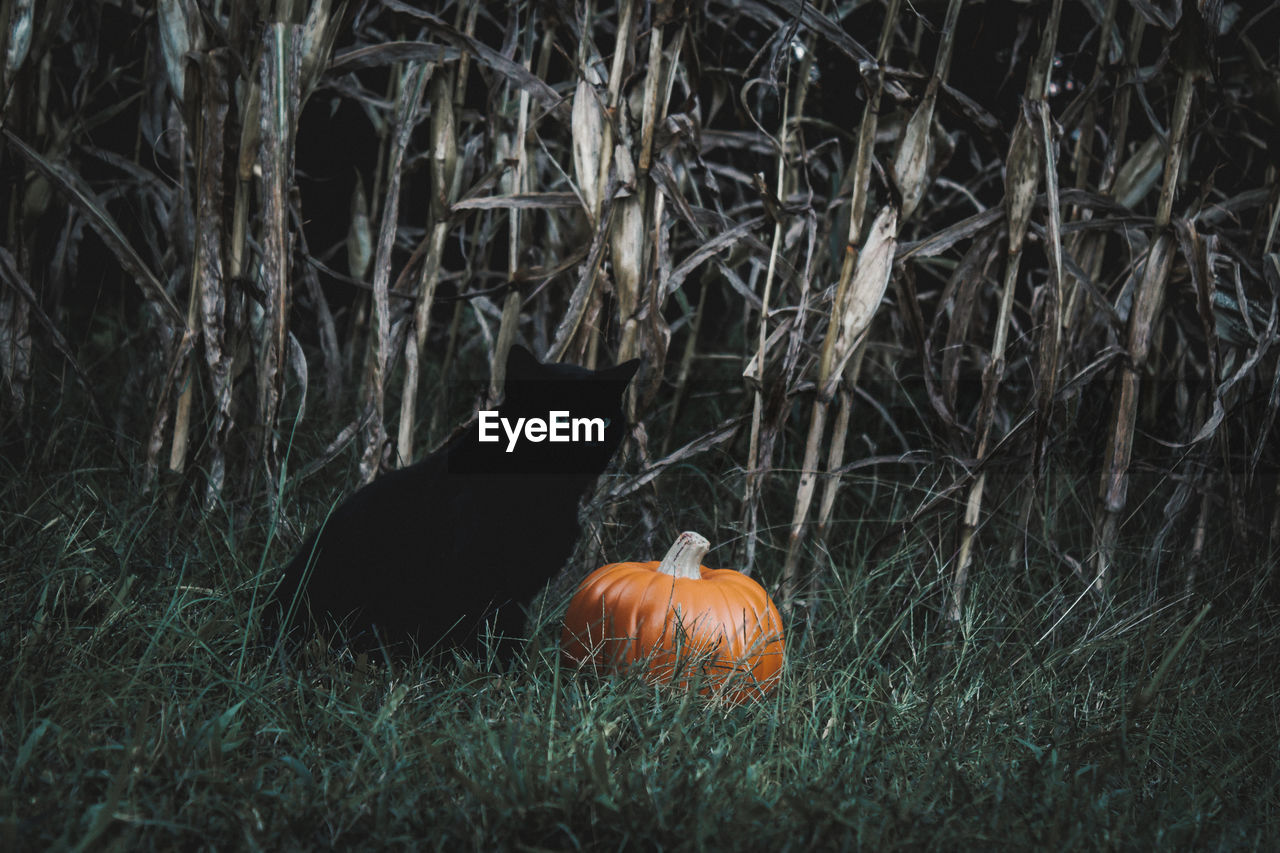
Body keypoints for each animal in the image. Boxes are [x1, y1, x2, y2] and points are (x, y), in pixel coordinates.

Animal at [271, 343, 645, 655]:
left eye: (602, 422)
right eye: (555, 418)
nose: (585, 446)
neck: (545, 496)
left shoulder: (518, 596)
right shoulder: (472, 584)